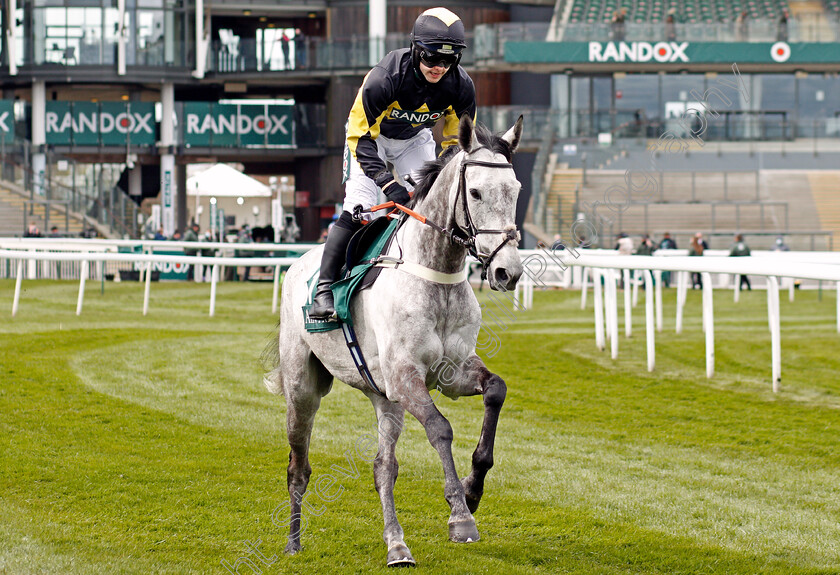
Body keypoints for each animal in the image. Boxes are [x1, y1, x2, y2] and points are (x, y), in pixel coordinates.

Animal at [266, 115, 520, 568]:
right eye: (475, 192)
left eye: (517, 190)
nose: (508, 271)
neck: (435, 275)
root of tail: (297, 264)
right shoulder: (405, 377)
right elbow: (440, 428)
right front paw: (460, 516)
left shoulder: (451, 373)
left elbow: (496, 390)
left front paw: (473, 489)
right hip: (302, 388)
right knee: (298, 466)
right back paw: (293, 542)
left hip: (383, 397)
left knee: (383, 466)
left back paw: (397, 546)